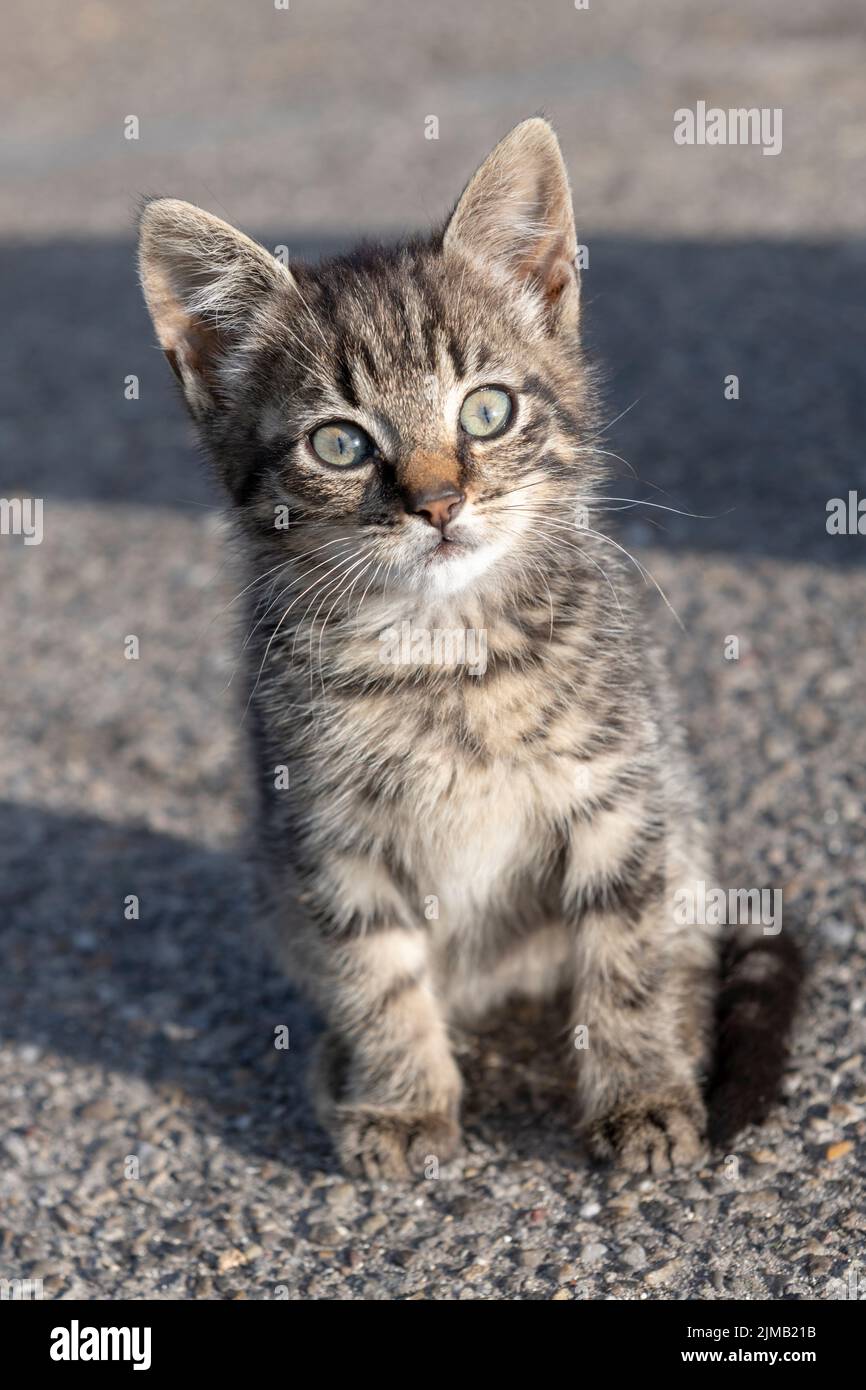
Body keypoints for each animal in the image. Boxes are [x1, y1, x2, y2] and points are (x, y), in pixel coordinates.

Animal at [140, 122, 800, 1184]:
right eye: (338, 444)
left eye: (486, 411)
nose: (439, 503)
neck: (443, 654)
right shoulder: (328, 833)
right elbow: (376, 969)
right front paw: (404, 1099)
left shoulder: (619, 795)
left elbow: (626, 952)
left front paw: (641, 1090)